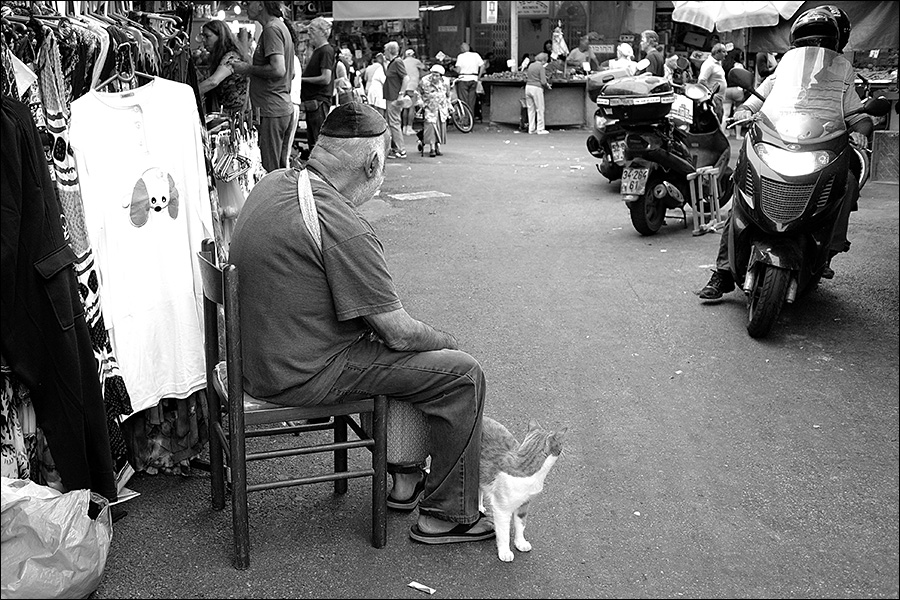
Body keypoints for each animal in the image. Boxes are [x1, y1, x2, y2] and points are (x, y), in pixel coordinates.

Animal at [478, 418, 564, 564]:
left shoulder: (525, 504)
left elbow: (521, 524)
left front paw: (520, 542)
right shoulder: (501, 510)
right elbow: (504, 532)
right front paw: (505, 551)